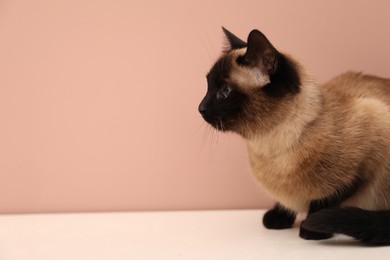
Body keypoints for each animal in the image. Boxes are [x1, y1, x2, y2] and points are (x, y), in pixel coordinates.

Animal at [200, 27, 390, 245]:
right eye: (208, 86)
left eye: (224, 91)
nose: (200, 108)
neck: (269, 148)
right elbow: (284, 202)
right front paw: (278, 219)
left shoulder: (360, 170)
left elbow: (323, 201)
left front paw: (311, 229)